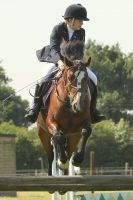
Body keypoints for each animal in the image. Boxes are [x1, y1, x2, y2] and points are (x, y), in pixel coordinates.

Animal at [37, 40, 92, 175]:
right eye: (70, 77)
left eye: (86, 79)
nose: (79, 104)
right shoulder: (51, 122)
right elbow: (59, 136)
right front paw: (62, 162)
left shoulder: (83, 123)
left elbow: (86, 131)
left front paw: (77, 159)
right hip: (43, 134)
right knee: (51, 155)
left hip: (73, 137)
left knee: (69, 150)